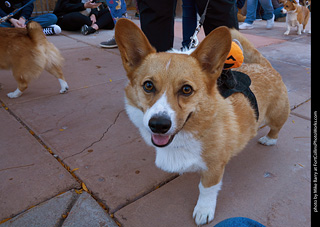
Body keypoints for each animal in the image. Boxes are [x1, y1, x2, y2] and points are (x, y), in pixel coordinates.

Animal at [114, 19, 290, 225]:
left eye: (186, 89)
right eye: (148, 86)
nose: (158, 125)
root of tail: (264, 66)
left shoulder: (214, 168)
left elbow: (206, 190)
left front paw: (203, 211)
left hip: (278, 114)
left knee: (277, 127)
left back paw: (269, 139)